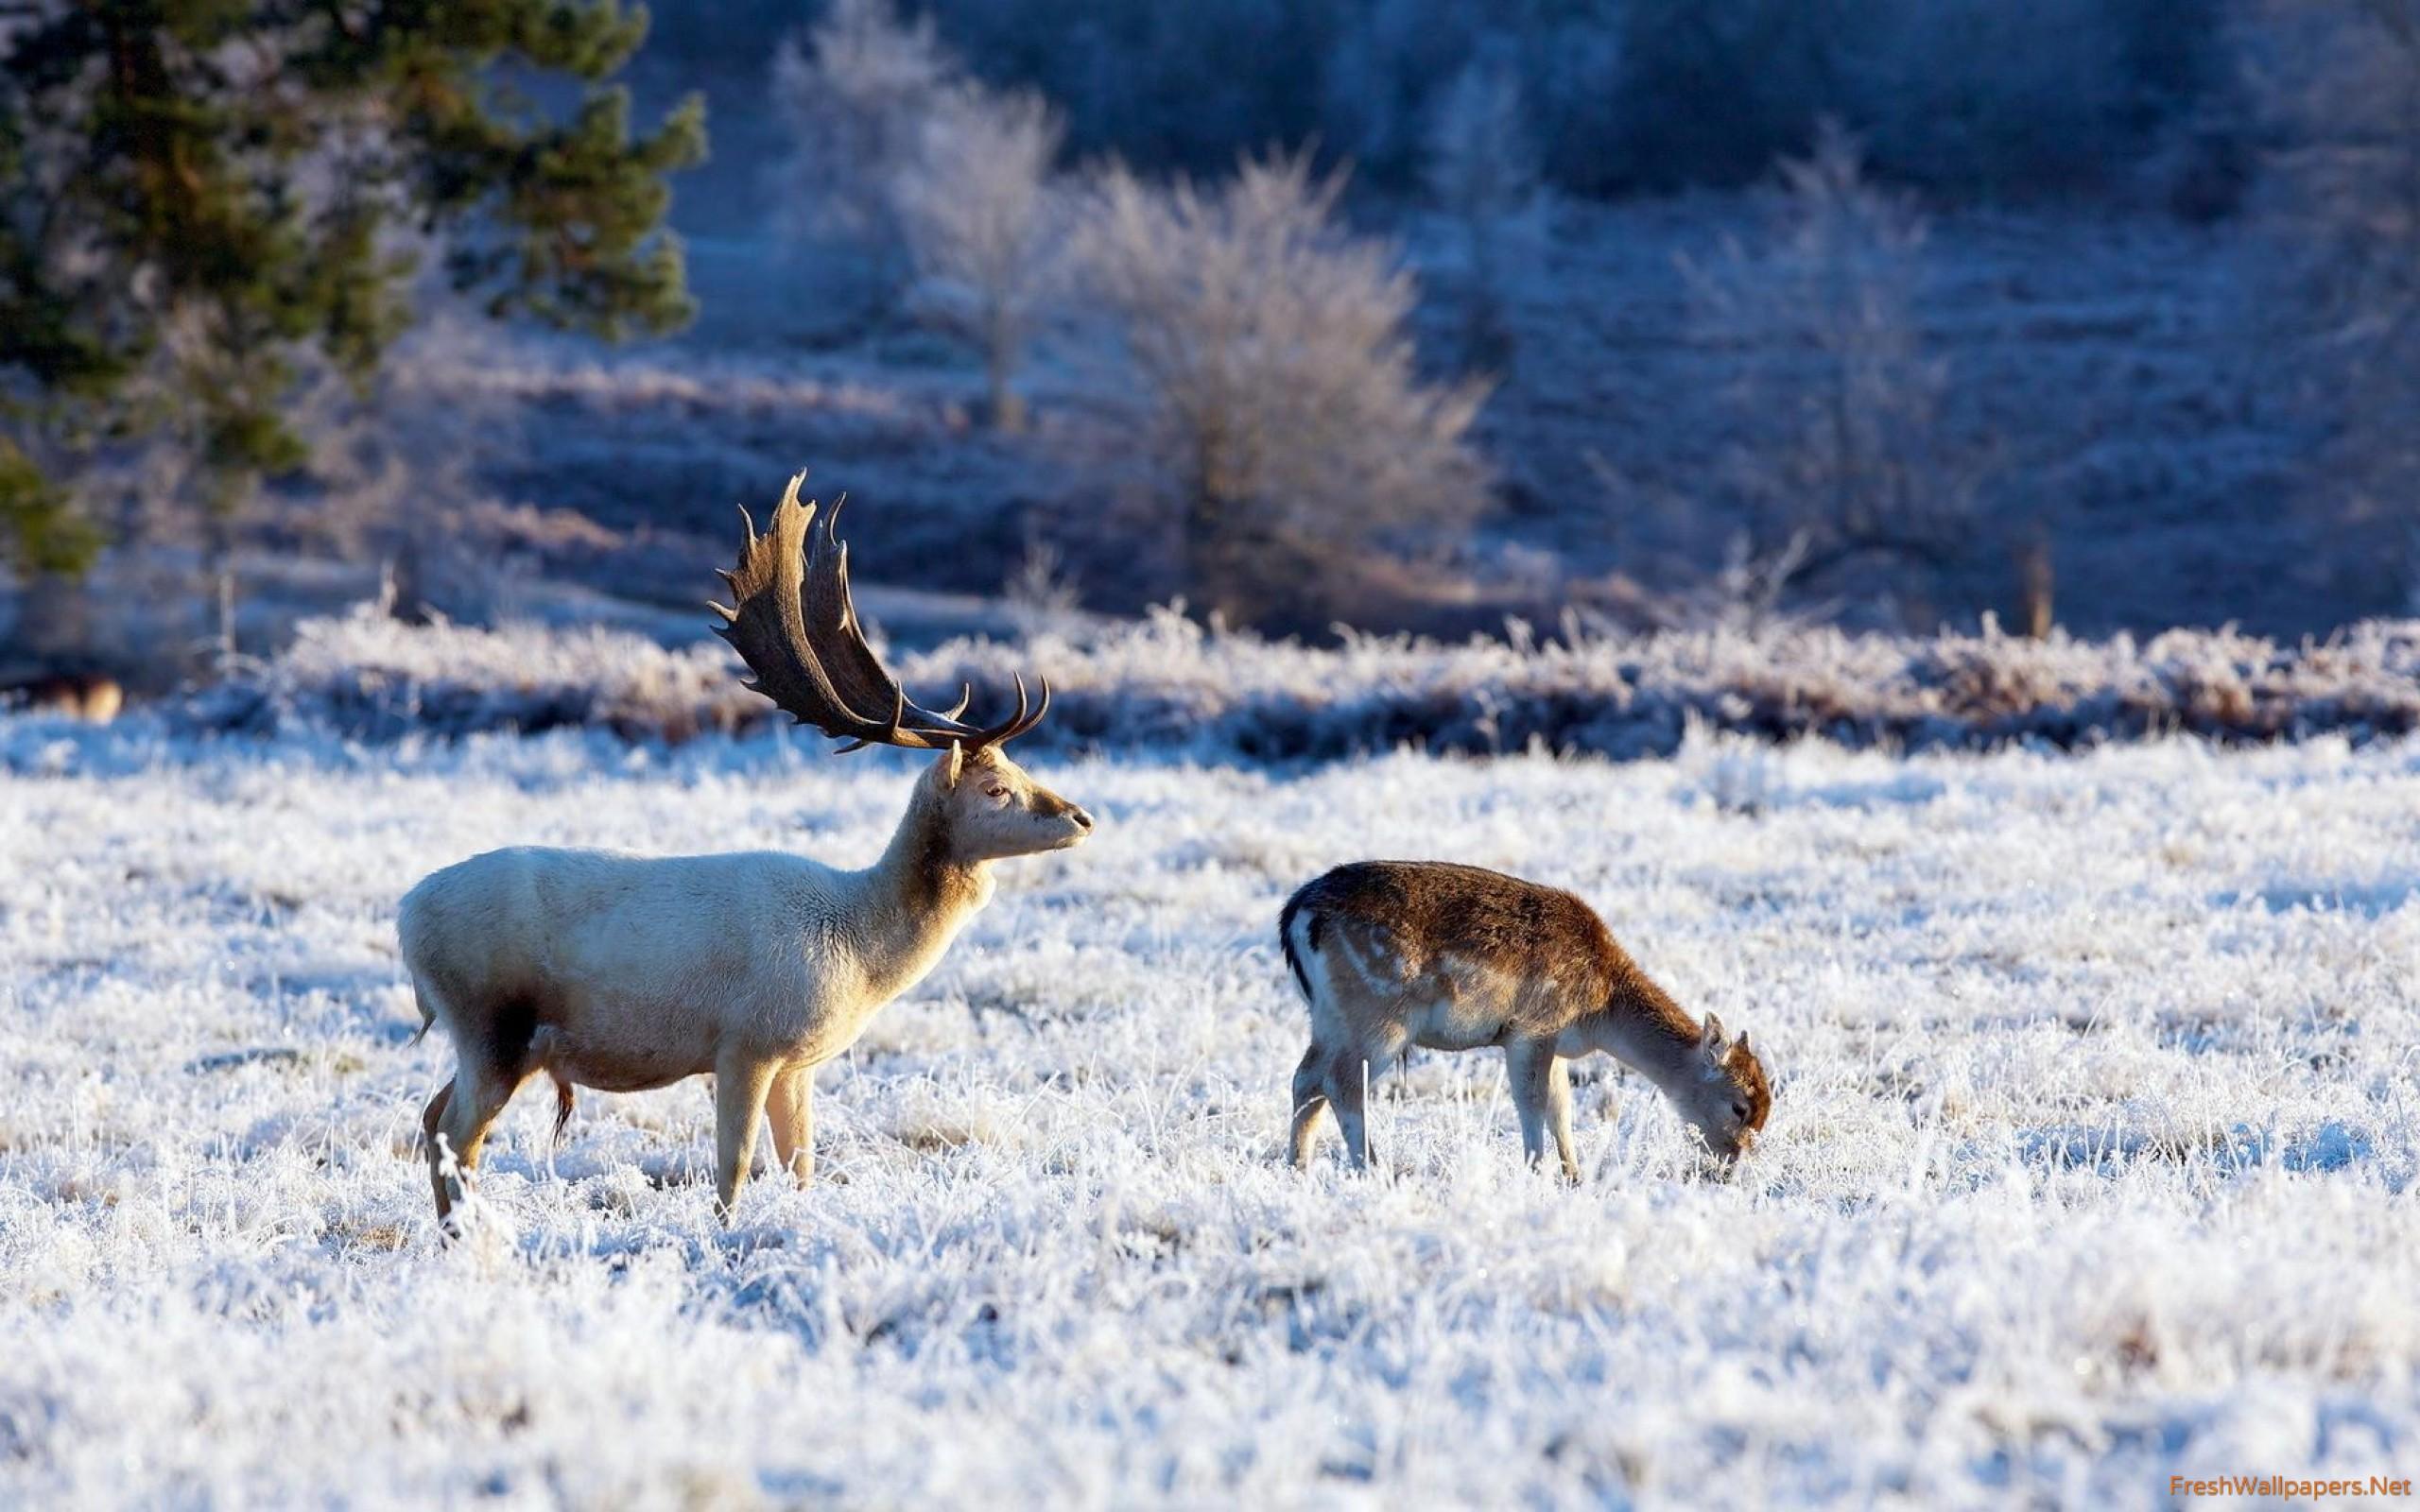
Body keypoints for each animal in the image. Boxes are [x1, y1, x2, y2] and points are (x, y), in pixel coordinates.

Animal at [399, 476, 1098, 1219]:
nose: (1081, 818)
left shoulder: (799, 1062)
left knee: (430, 1116)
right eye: (995, 788)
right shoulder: (745, 1042)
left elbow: (802, 1164)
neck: (859, 949)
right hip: (492, 1022)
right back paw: (464, 1233)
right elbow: (733, 1167)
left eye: (1020, 768)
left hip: (493, 1040)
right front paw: (725, 1231)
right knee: (456, 1132)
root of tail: (406, 918)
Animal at [1277, 861, 1771, 1180]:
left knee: (1306, 1078)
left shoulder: (1553, 1042)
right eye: (1739, 1107)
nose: (1732, 1165)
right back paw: (1373, 1169)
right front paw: (1538, 1171)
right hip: (1379, 1017)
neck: (1599, 1011)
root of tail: (1295, 914)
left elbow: (1561, 1106)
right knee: (1342, 1083)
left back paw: (1296, 1166)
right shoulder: (1533, 1027)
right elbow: (1531, 1100)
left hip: (1328, 1017)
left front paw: (1574, 1174)